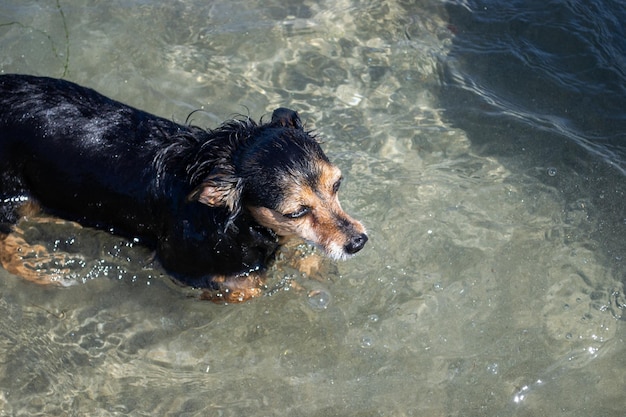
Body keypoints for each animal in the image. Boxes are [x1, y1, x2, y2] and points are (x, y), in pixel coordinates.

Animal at [0, 74, 366, 302]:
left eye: (337, 185)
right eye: (296, 212)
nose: (358, 242)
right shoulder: (180, 268)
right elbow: (249, 288)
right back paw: (41, 269)